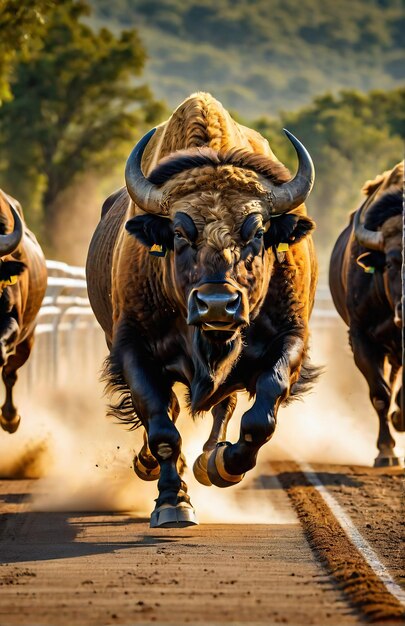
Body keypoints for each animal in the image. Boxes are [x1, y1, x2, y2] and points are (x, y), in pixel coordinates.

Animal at [86, 90, 318, 524]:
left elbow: (261, 414)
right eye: (179, 232)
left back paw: (209, 459)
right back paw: (150, 465)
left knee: (224, 405)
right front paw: (172, 502)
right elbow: (161, 424)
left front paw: (222, 466)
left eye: (257, 232)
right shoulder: (131, 348)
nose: (217, 306)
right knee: (172, 412)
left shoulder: (290, 338)